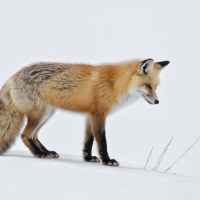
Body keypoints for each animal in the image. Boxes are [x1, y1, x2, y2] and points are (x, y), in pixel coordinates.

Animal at [0, 59, 169, 166]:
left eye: (156, 87)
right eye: (148, 85)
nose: (157, 102)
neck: (115, 84)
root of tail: (13, 77)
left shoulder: (90, 115)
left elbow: (89, 140)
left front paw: (88, 158)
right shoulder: (99, 114)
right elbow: (102, 141)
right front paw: (107, 161)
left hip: (47, 114)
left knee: (33, 136)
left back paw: (47, 152)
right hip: (40, 114)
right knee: (25, 135)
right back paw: (39, 154)